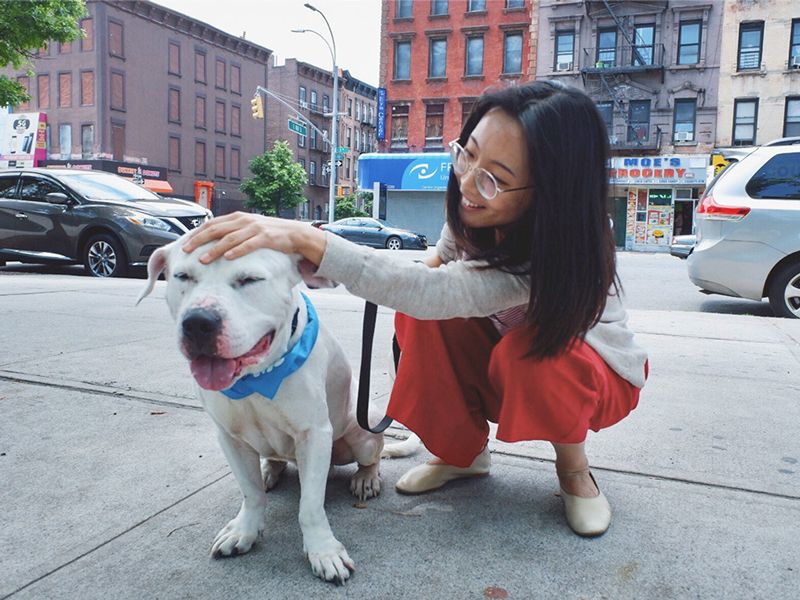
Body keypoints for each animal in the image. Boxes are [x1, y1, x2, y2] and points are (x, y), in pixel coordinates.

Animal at [137, 238, 384, 580]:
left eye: (250, 280)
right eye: (183, 276)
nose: (198, 322)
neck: (255, 378)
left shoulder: (313, 434)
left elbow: (310, 505)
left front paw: (323, 550)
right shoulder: (229, 437)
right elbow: (250, 491)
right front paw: (244, 531)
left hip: (362, 432)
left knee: (370, 455)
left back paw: (366, 478)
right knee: (272, 461)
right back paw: (269, 470)